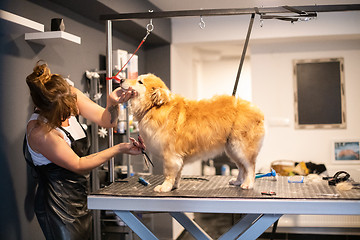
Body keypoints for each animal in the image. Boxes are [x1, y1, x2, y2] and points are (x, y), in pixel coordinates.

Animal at [121, 74, 264, 192]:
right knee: (241, 167)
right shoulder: (177, 156)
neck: (154, 107)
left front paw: (165, 187)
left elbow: (169, 173)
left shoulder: (170, 155)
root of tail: (257, 111)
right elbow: (177, 173)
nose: (121, 80)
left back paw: (248, 184)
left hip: (241, 147)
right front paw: (174, 186)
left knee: (250, 167)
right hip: (232, 148)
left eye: (140, 82)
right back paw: (238, 181)